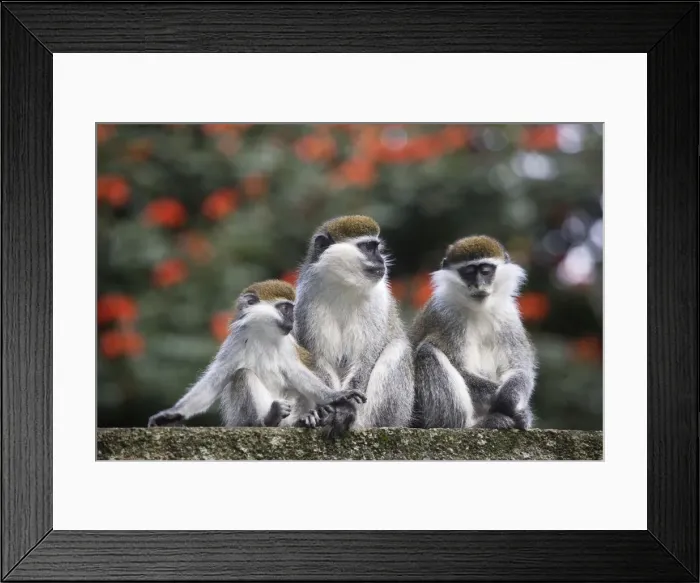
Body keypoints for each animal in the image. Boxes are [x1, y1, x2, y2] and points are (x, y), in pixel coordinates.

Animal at [147, 279, 364, 429]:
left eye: (292, 310)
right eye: (285, 309)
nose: (292, 321)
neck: (263, 335)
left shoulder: (287, 346)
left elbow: (297, 374)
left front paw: (334, 397)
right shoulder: (235, 342)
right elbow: (215, 379)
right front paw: (172, 414)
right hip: (240, 418)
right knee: (243, 374)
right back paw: (268, 419)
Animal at [293, 215, 415, 438]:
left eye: (377, 247)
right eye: (368, 247)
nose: (382, 260)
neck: (344, 286)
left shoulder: (378, 300)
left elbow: (365, 358)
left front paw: (345, 408)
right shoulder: (306, 301)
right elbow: (317, 358)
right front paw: (336, 401)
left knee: (398, 348)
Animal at [410, 235, 537, 429]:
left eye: (485, 271)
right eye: (468, 272)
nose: (478, 285)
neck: (478, 309)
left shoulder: (508, 315)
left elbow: (519, 368)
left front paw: (514, 401)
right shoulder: (445, 316)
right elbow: (460, 368)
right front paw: (509, 403)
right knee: (427, 352)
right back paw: (473, 424)